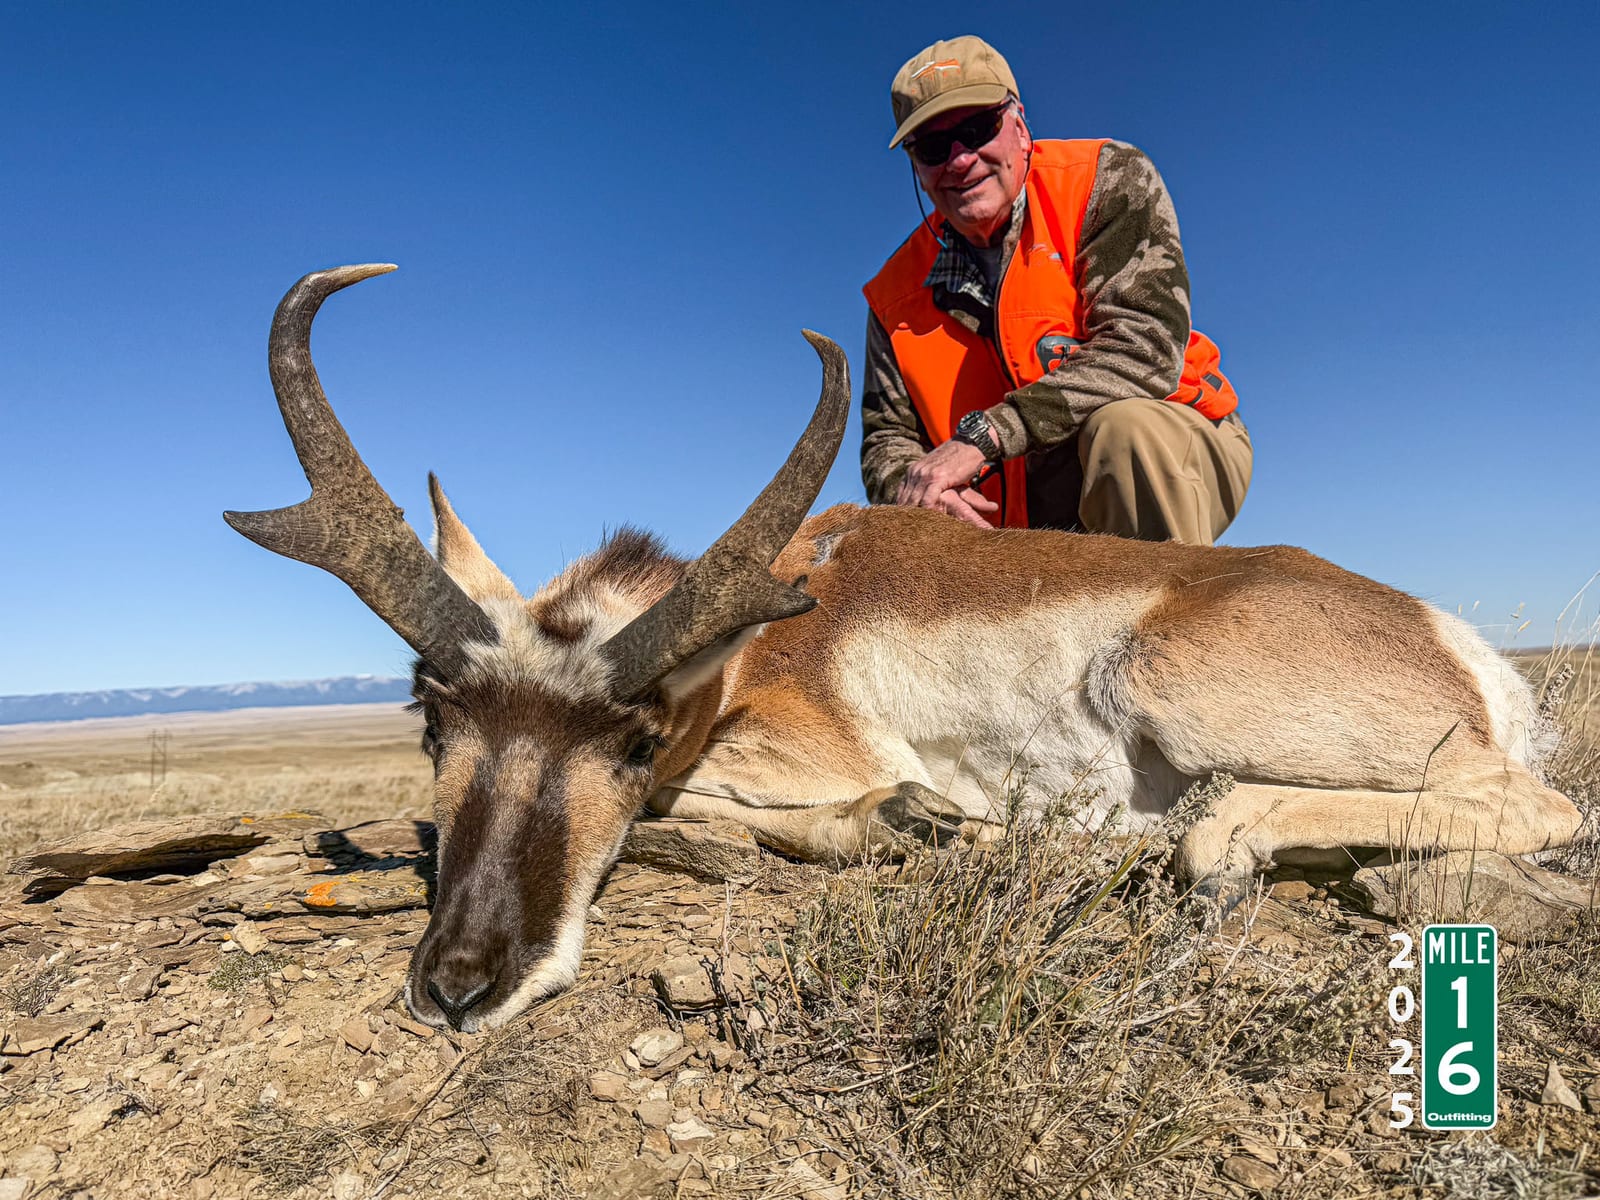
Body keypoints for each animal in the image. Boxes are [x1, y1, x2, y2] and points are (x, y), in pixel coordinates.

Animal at [228, 263, 1581, 1032]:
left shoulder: (794, 754)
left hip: (1169, 684)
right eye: (432, 717)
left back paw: (1181, 840)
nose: (461, 983)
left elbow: (762, 808)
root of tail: (1449, 640)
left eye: (636, 735)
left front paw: (916, 821)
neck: (758, 644)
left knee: (1522, 807)